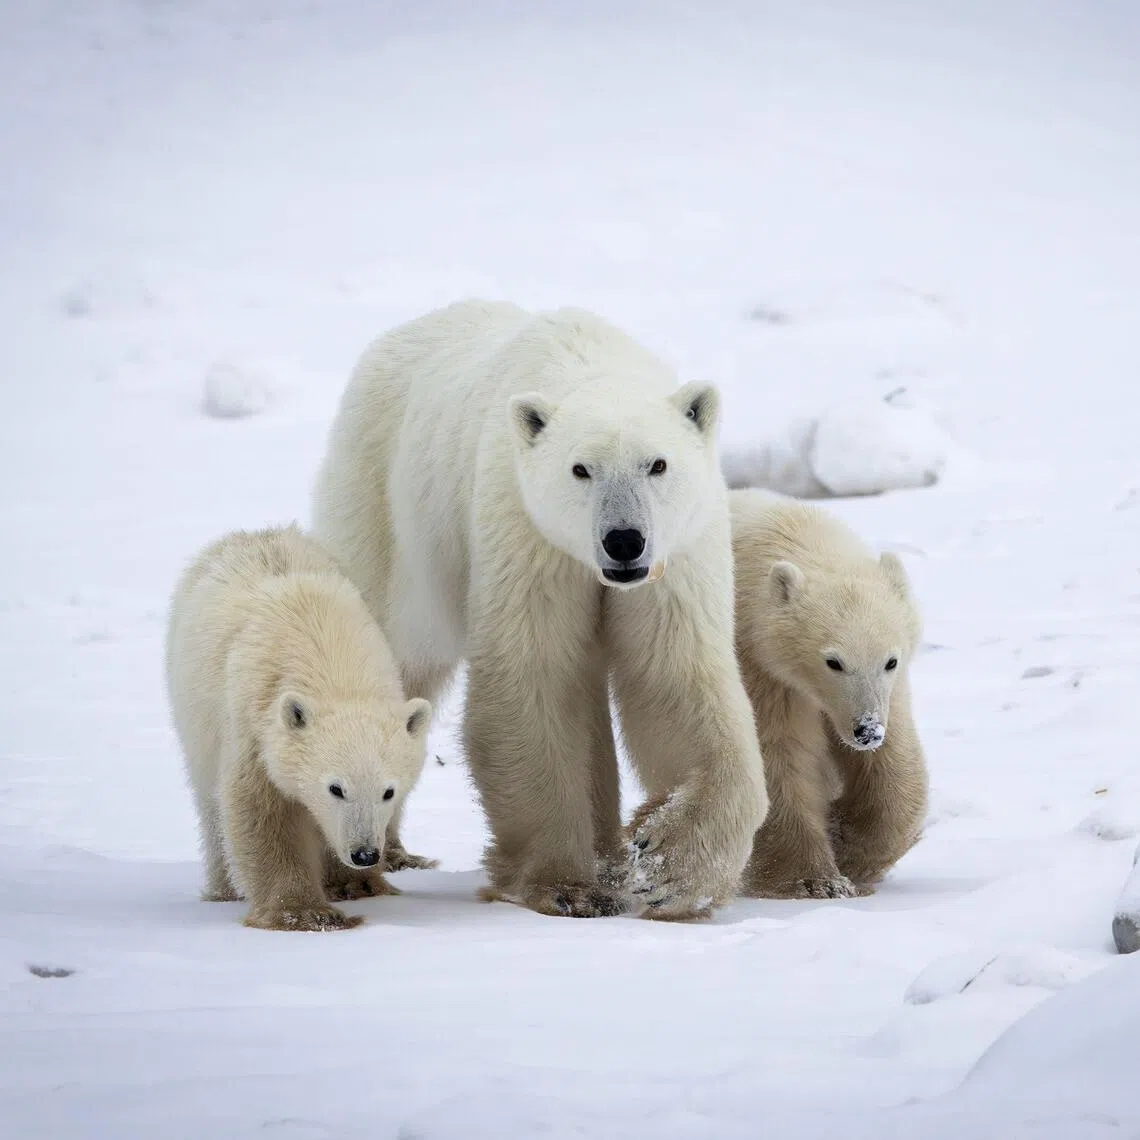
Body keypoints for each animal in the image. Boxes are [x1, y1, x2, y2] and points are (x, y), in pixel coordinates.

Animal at [164, 525, 433, 931]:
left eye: (389, 791)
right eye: (336, 788)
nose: (365, 854)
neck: (332, 661)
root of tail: (255, 533)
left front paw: (356, 885)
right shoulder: (256, 723)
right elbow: (262, 809)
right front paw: (304, 912)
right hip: (194, 714)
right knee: (209, 802)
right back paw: (223, 889)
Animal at [310, 299, 768, 921]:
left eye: (658, 464)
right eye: (580, 469)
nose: (624, 541)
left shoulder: (677, 555)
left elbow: (674, 677)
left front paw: (668, 868)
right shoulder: (528, 533)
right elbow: (534, 680)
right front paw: (566, 887)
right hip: (384, 509)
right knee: (389, 655)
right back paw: (363, 864)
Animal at [729, 489, 928, 899]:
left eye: (890, 660)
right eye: (833, 662)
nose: (866, 730)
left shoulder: (890, 694)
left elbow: (894, 764)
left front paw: (849, 844)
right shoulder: (764, 669)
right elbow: (781, 758)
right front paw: (817, 881)